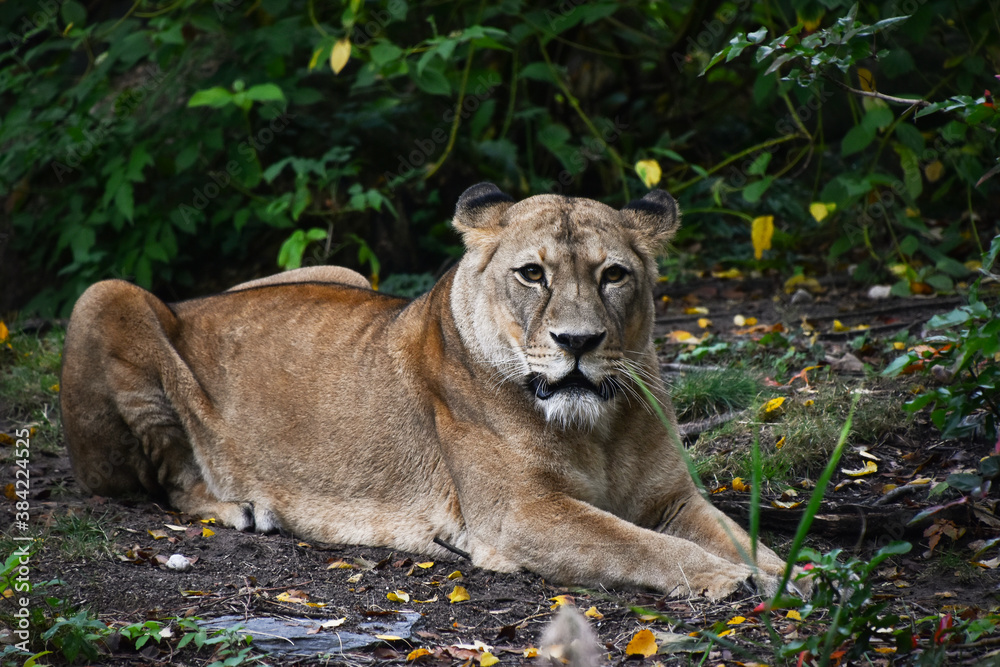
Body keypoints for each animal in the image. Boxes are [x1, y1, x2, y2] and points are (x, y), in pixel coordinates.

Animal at [61, 183, 797, 599]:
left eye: (613, 274)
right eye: (532, 273)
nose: (579, 342)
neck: (600, 426)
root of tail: (191, 304)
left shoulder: (672, 498)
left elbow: (737, 534)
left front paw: (790, 574)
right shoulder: (518, 515)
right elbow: (638, 545)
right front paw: (730, 580)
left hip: (341, 271)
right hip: (105, 295)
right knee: (166, 480)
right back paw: (242, 507)